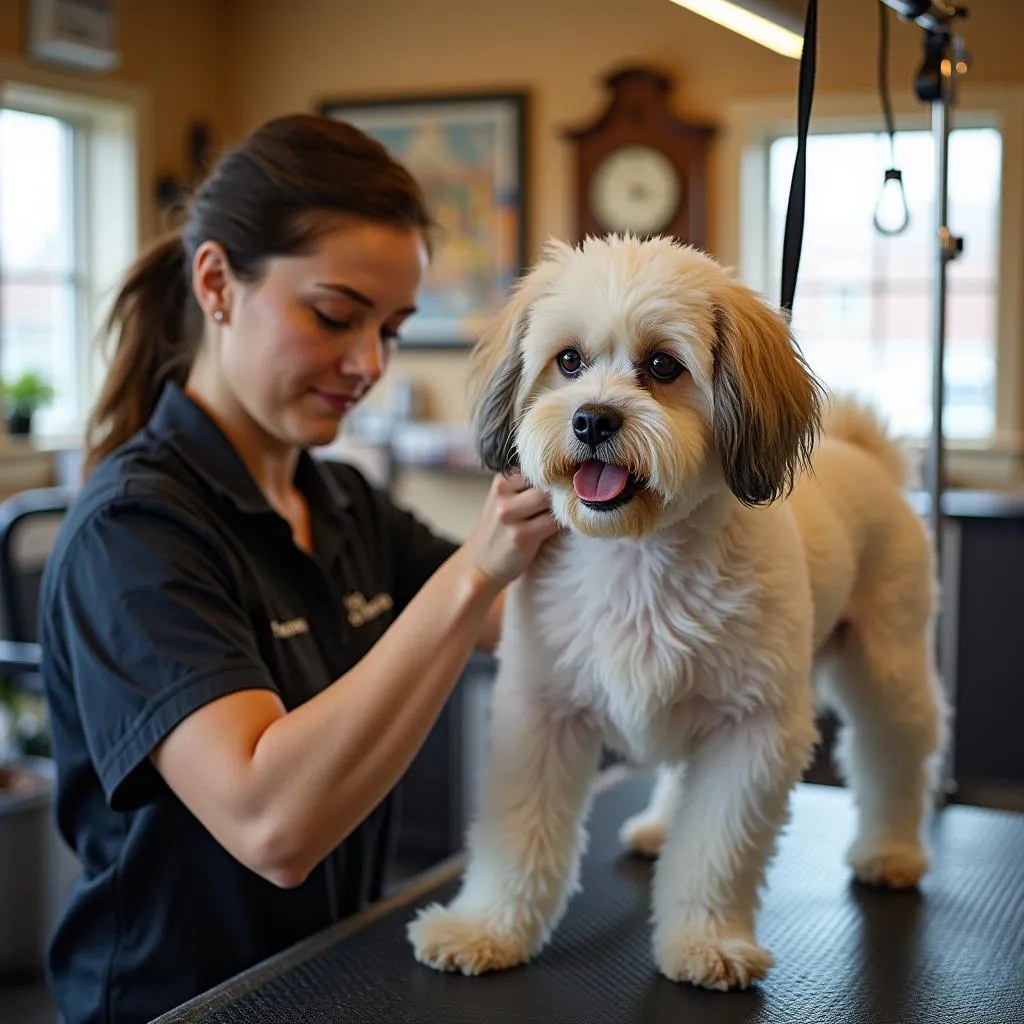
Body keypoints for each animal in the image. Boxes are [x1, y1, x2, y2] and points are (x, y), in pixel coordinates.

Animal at [403, 234, 946, 991]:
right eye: (568, 361)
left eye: (662, 365)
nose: (592, 419)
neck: (639, 556)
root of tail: (862, 451)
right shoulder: (540, 713)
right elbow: (518, 833)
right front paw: (486, 927)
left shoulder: (752, 730)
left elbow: (717, 846)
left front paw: (705, 942)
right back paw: (661, 825)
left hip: (886, 659)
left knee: (895, 750)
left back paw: (891, 852)